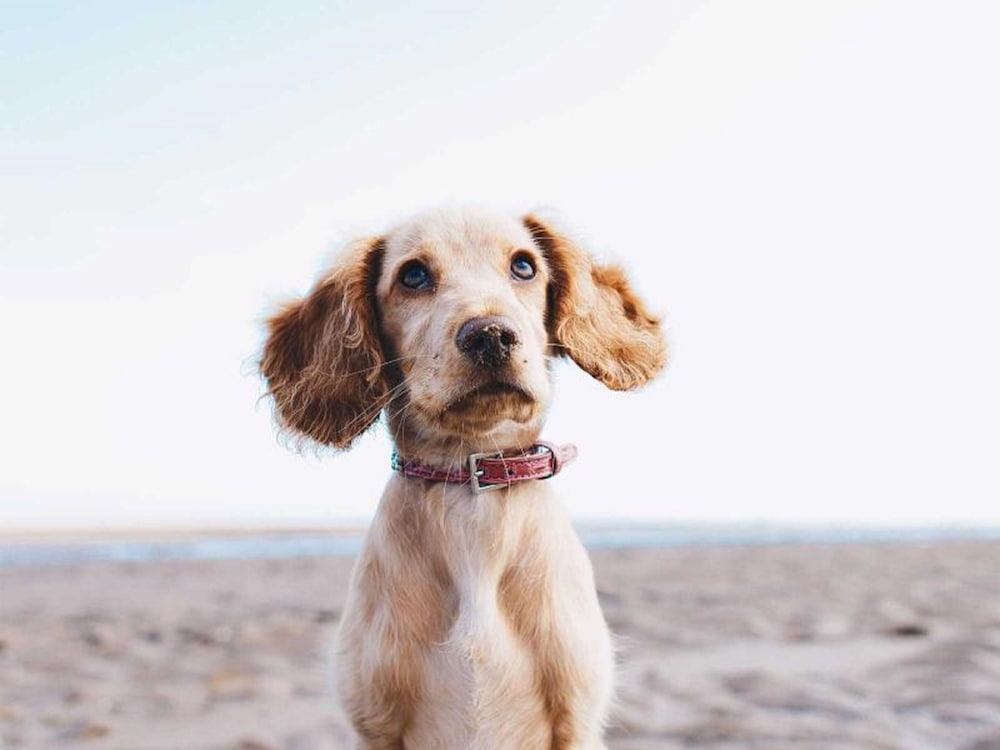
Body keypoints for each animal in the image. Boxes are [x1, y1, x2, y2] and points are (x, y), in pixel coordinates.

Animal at [262, 209, 668, 748]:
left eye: (524, 266)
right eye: (413, 275)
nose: (491, 335)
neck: (471, 491)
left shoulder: (576, 722)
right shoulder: (374, 724)